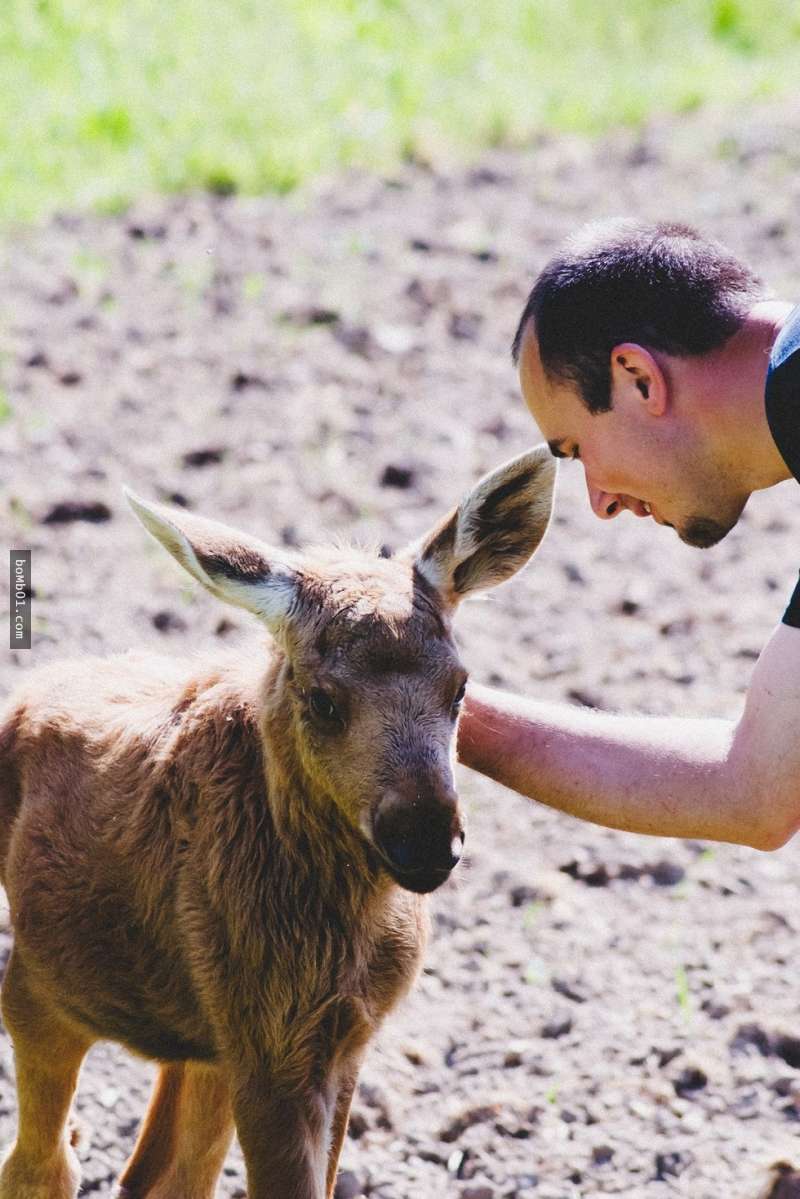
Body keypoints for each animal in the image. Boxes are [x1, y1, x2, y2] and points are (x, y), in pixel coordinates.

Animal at [0, 446, 554, 1194]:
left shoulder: (331, 1040)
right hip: (43, 987)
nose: (425, 838)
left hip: (202, 1035)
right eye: (322, 699)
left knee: (157, 1169)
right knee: (44, 1162)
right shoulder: (273, 1047)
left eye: (461, 687)